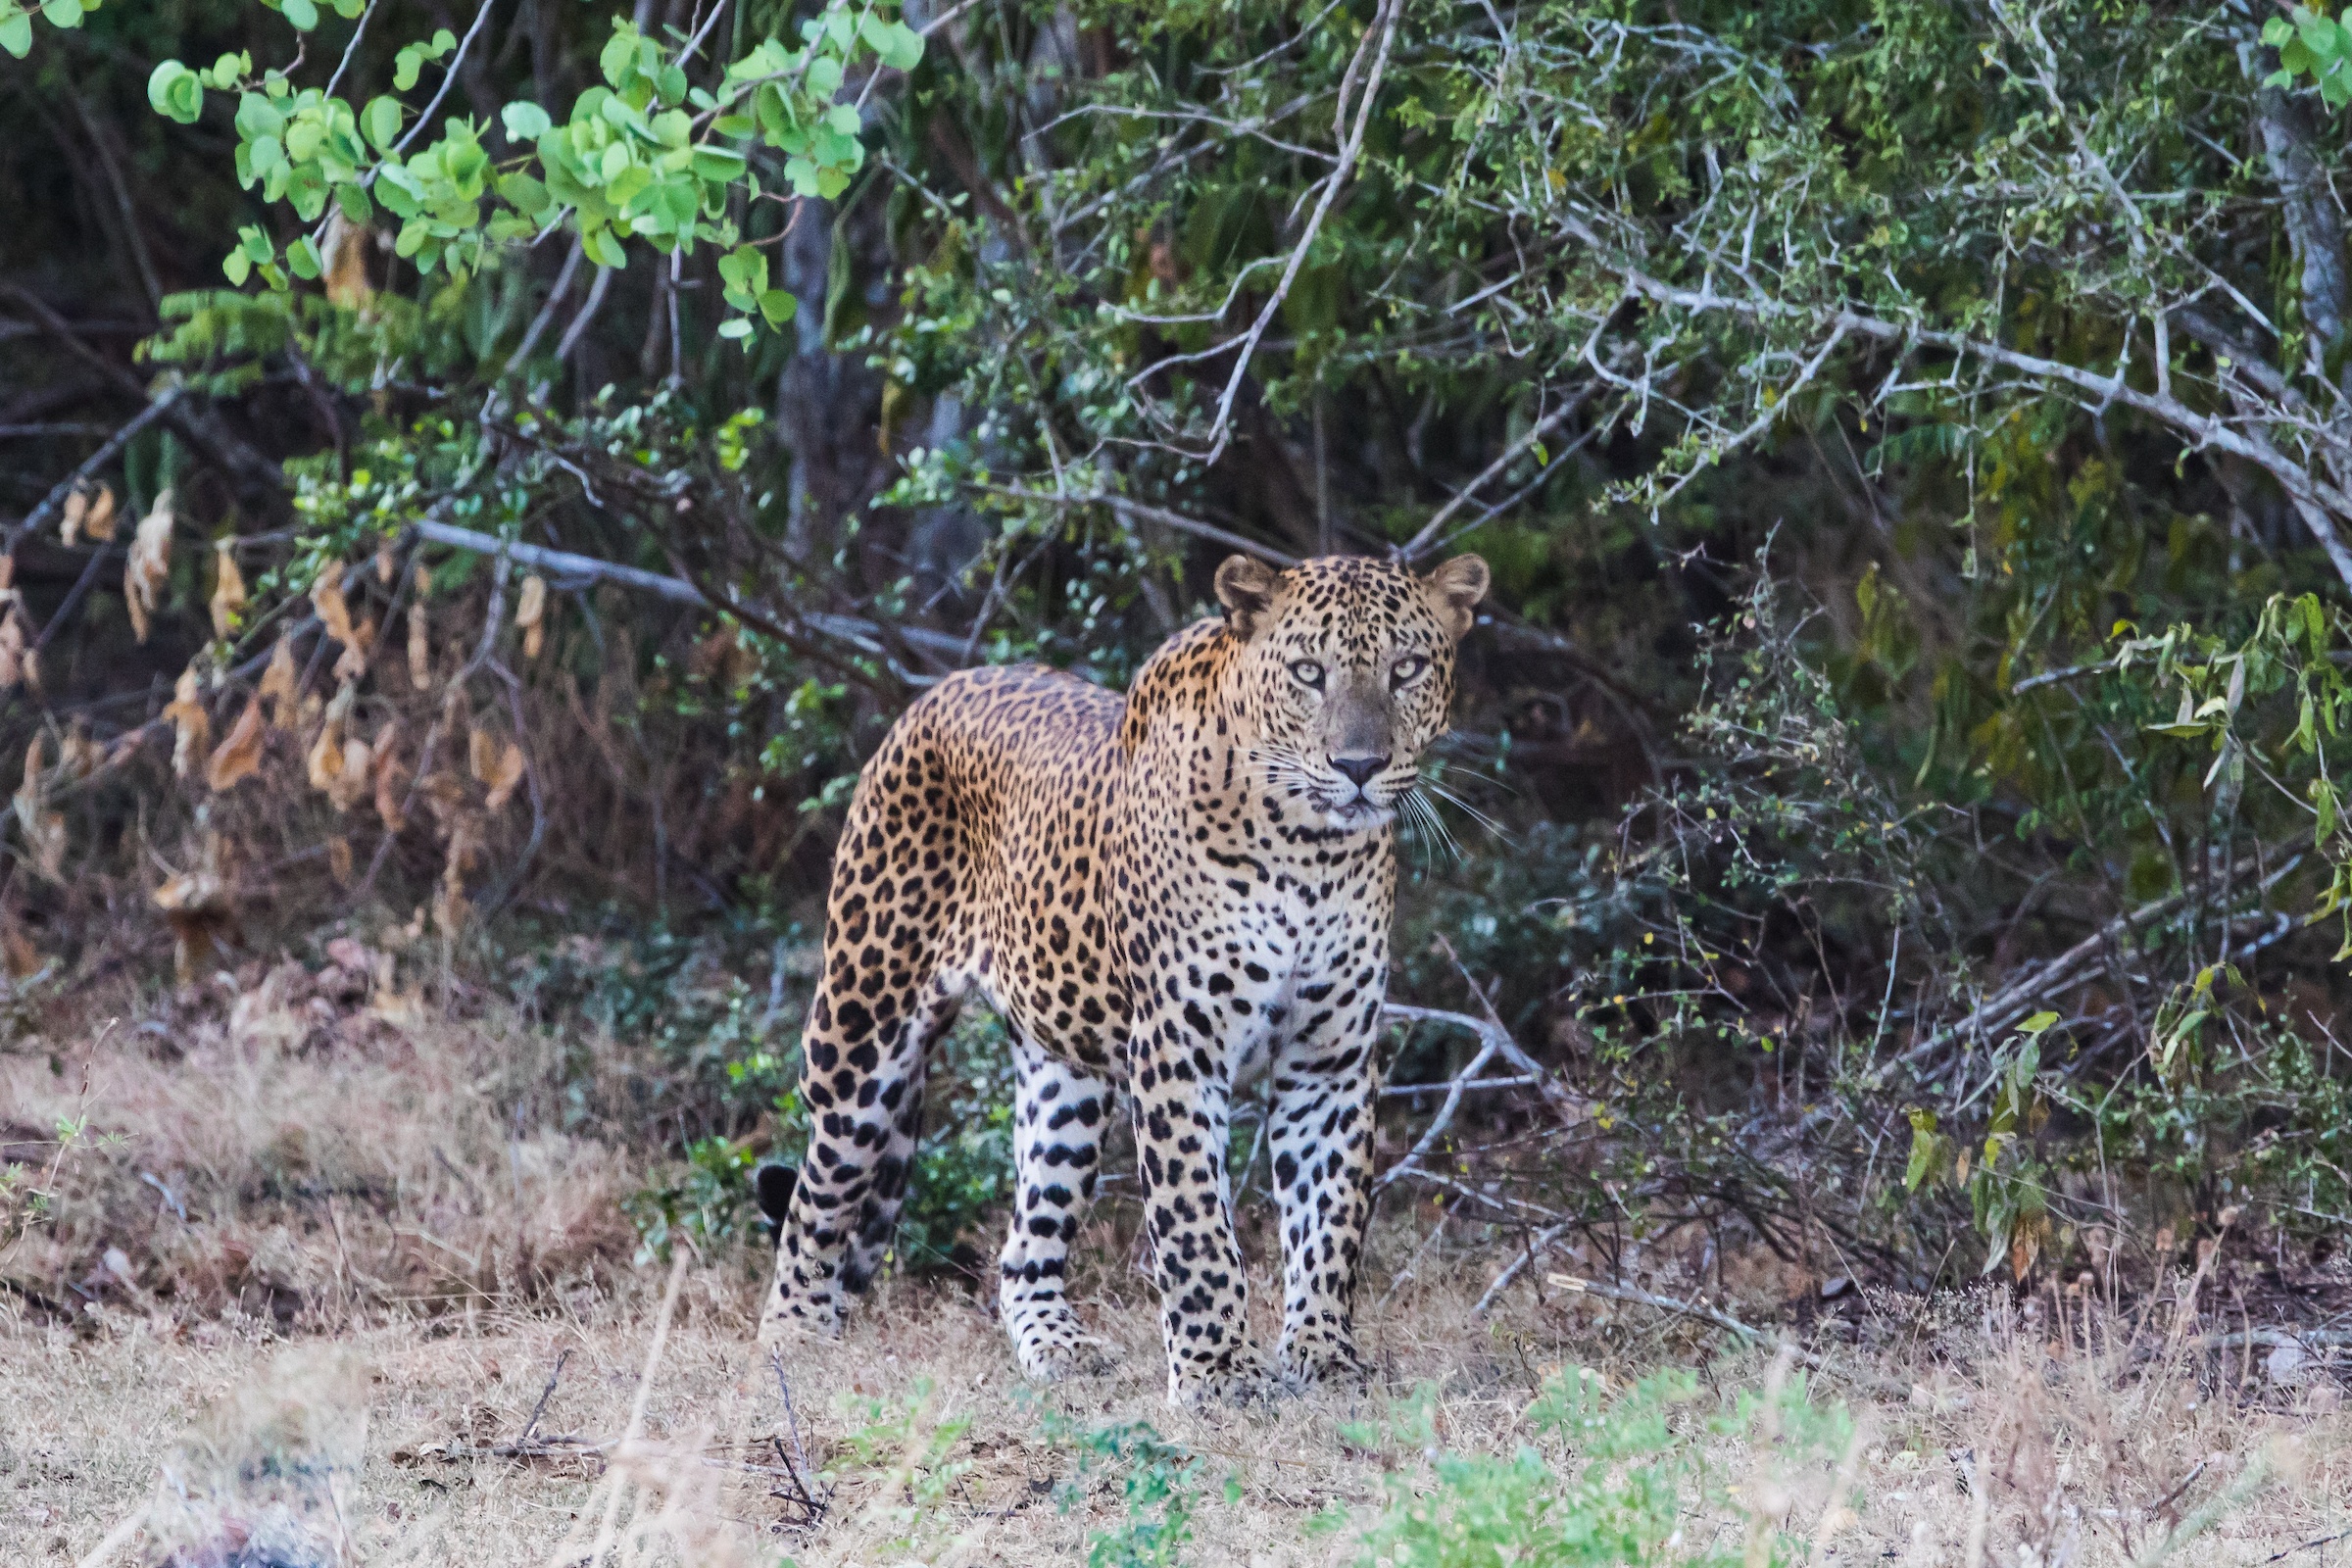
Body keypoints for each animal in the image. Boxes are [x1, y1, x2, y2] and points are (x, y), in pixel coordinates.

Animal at [755, 550, 1491, 1405]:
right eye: (1309, 673)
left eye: (1407, 669)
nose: (1361, 767)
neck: (1311, 854)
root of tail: (938, 691)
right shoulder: (1178, 1049)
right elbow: (1196, 1224)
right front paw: (1217, 1374)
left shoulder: (1330, 1061)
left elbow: (1329, 1217)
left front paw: (1323, 1356)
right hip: (861, 1031)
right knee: (817, 1195)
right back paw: (793, 1338)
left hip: (1064, 1083)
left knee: (1022, 1247)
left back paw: (1060, 1348)